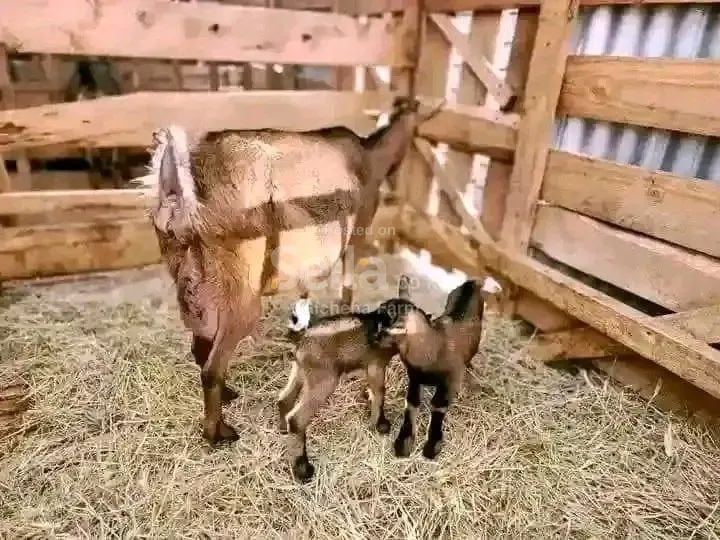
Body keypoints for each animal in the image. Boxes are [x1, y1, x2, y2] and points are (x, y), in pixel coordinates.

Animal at [140, 97, 443, 445]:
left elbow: (306, 290)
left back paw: (228, 396)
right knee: (212, 366)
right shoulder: (358, 234)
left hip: (194, 287)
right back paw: (219, 434)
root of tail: (180, 207)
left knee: (200, 346)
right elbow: (347, 289)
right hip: (239, 293)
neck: (372, 158)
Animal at [277, 296, 415, 482]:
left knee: (284, 399)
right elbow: (380, 393)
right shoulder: (376, 365)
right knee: (297, 419)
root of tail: (301, 336)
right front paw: (379, 425)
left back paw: (283, 429)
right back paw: (303, 470)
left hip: (300, 371)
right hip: (323, 381)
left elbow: (374, 391)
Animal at [373, 274, 502, 460]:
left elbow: (438, 407)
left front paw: (432, 446)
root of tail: (472, 283)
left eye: (384, 327)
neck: (434, 349)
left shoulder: (449, 380)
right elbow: (412, 403)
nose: (374, 338)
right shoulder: (415, 378)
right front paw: (403, 443)